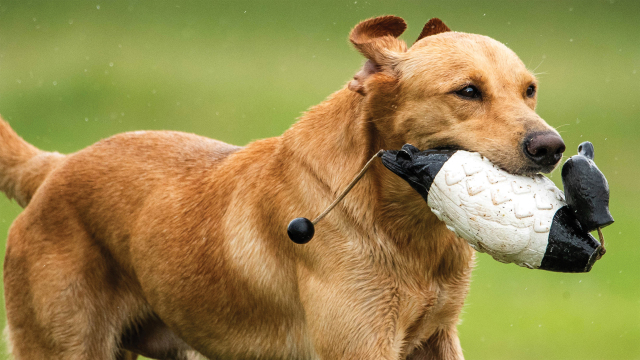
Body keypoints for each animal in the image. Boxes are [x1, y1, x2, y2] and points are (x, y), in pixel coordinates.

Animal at [3, 16, 564, 360]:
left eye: (530, 90)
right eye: (467, 91)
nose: (552, 147)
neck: (406, 231)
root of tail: (53, 167)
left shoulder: (436, 339)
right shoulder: (360, 345)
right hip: (63, 345)